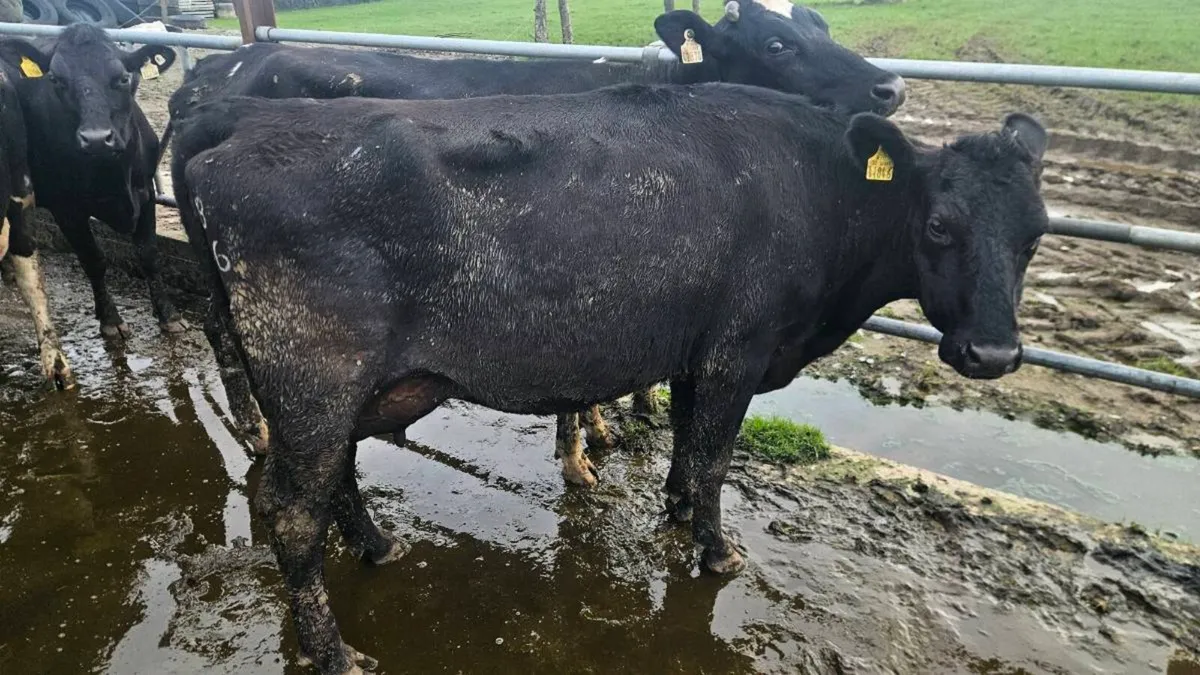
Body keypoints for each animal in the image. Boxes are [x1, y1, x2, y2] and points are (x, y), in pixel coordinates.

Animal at [0, 25, 183, 343]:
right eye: (55, 80)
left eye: (123, 78)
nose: (96, 139)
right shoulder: (67, 210)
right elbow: (93, 260)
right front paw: (110, 319)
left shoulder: (145, 192)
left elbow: (148, 255)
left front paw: (168, 315)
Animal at [168, 0, 909, 487]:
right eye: (777, 43)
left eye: (822, 24)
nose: (892, 86)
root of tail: (217, 75)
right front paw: (577, 454)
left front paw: (605, 427)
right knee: (220, 335)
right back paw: (257, 432)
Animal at [170, 83, 1048, 673]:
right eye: (940, 225)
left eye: (1038, 233)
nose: (994, 354)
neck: (816, 188)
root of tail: (242, 125)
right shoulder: (738, 349)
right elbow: (716, 456)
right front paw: (716, 552)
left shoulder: (699, 350)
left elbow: (687, 446)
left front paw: (676, 510)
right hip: (314, 379)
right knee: (292, 513)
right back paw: (335, 651)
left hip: (334, 392)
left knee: (337, 477)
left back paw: (381, 546)